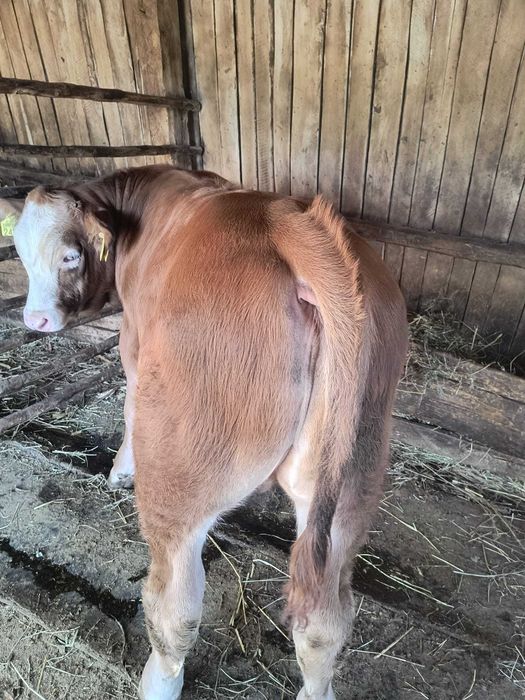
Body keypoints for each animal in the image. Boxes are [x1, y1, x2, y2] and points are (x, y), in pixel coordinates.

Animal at [0, 165, 408, 700]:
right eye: (20, 250)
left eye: (70, 254)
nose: (36, 319)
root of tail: (287, 219)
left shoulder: (133, 340)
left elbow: (129, 405)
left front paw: (119, 470)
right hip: (351, 479)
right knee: (325, 621)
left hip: (181, 470)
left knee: (175, 605)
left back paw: (158, 681)